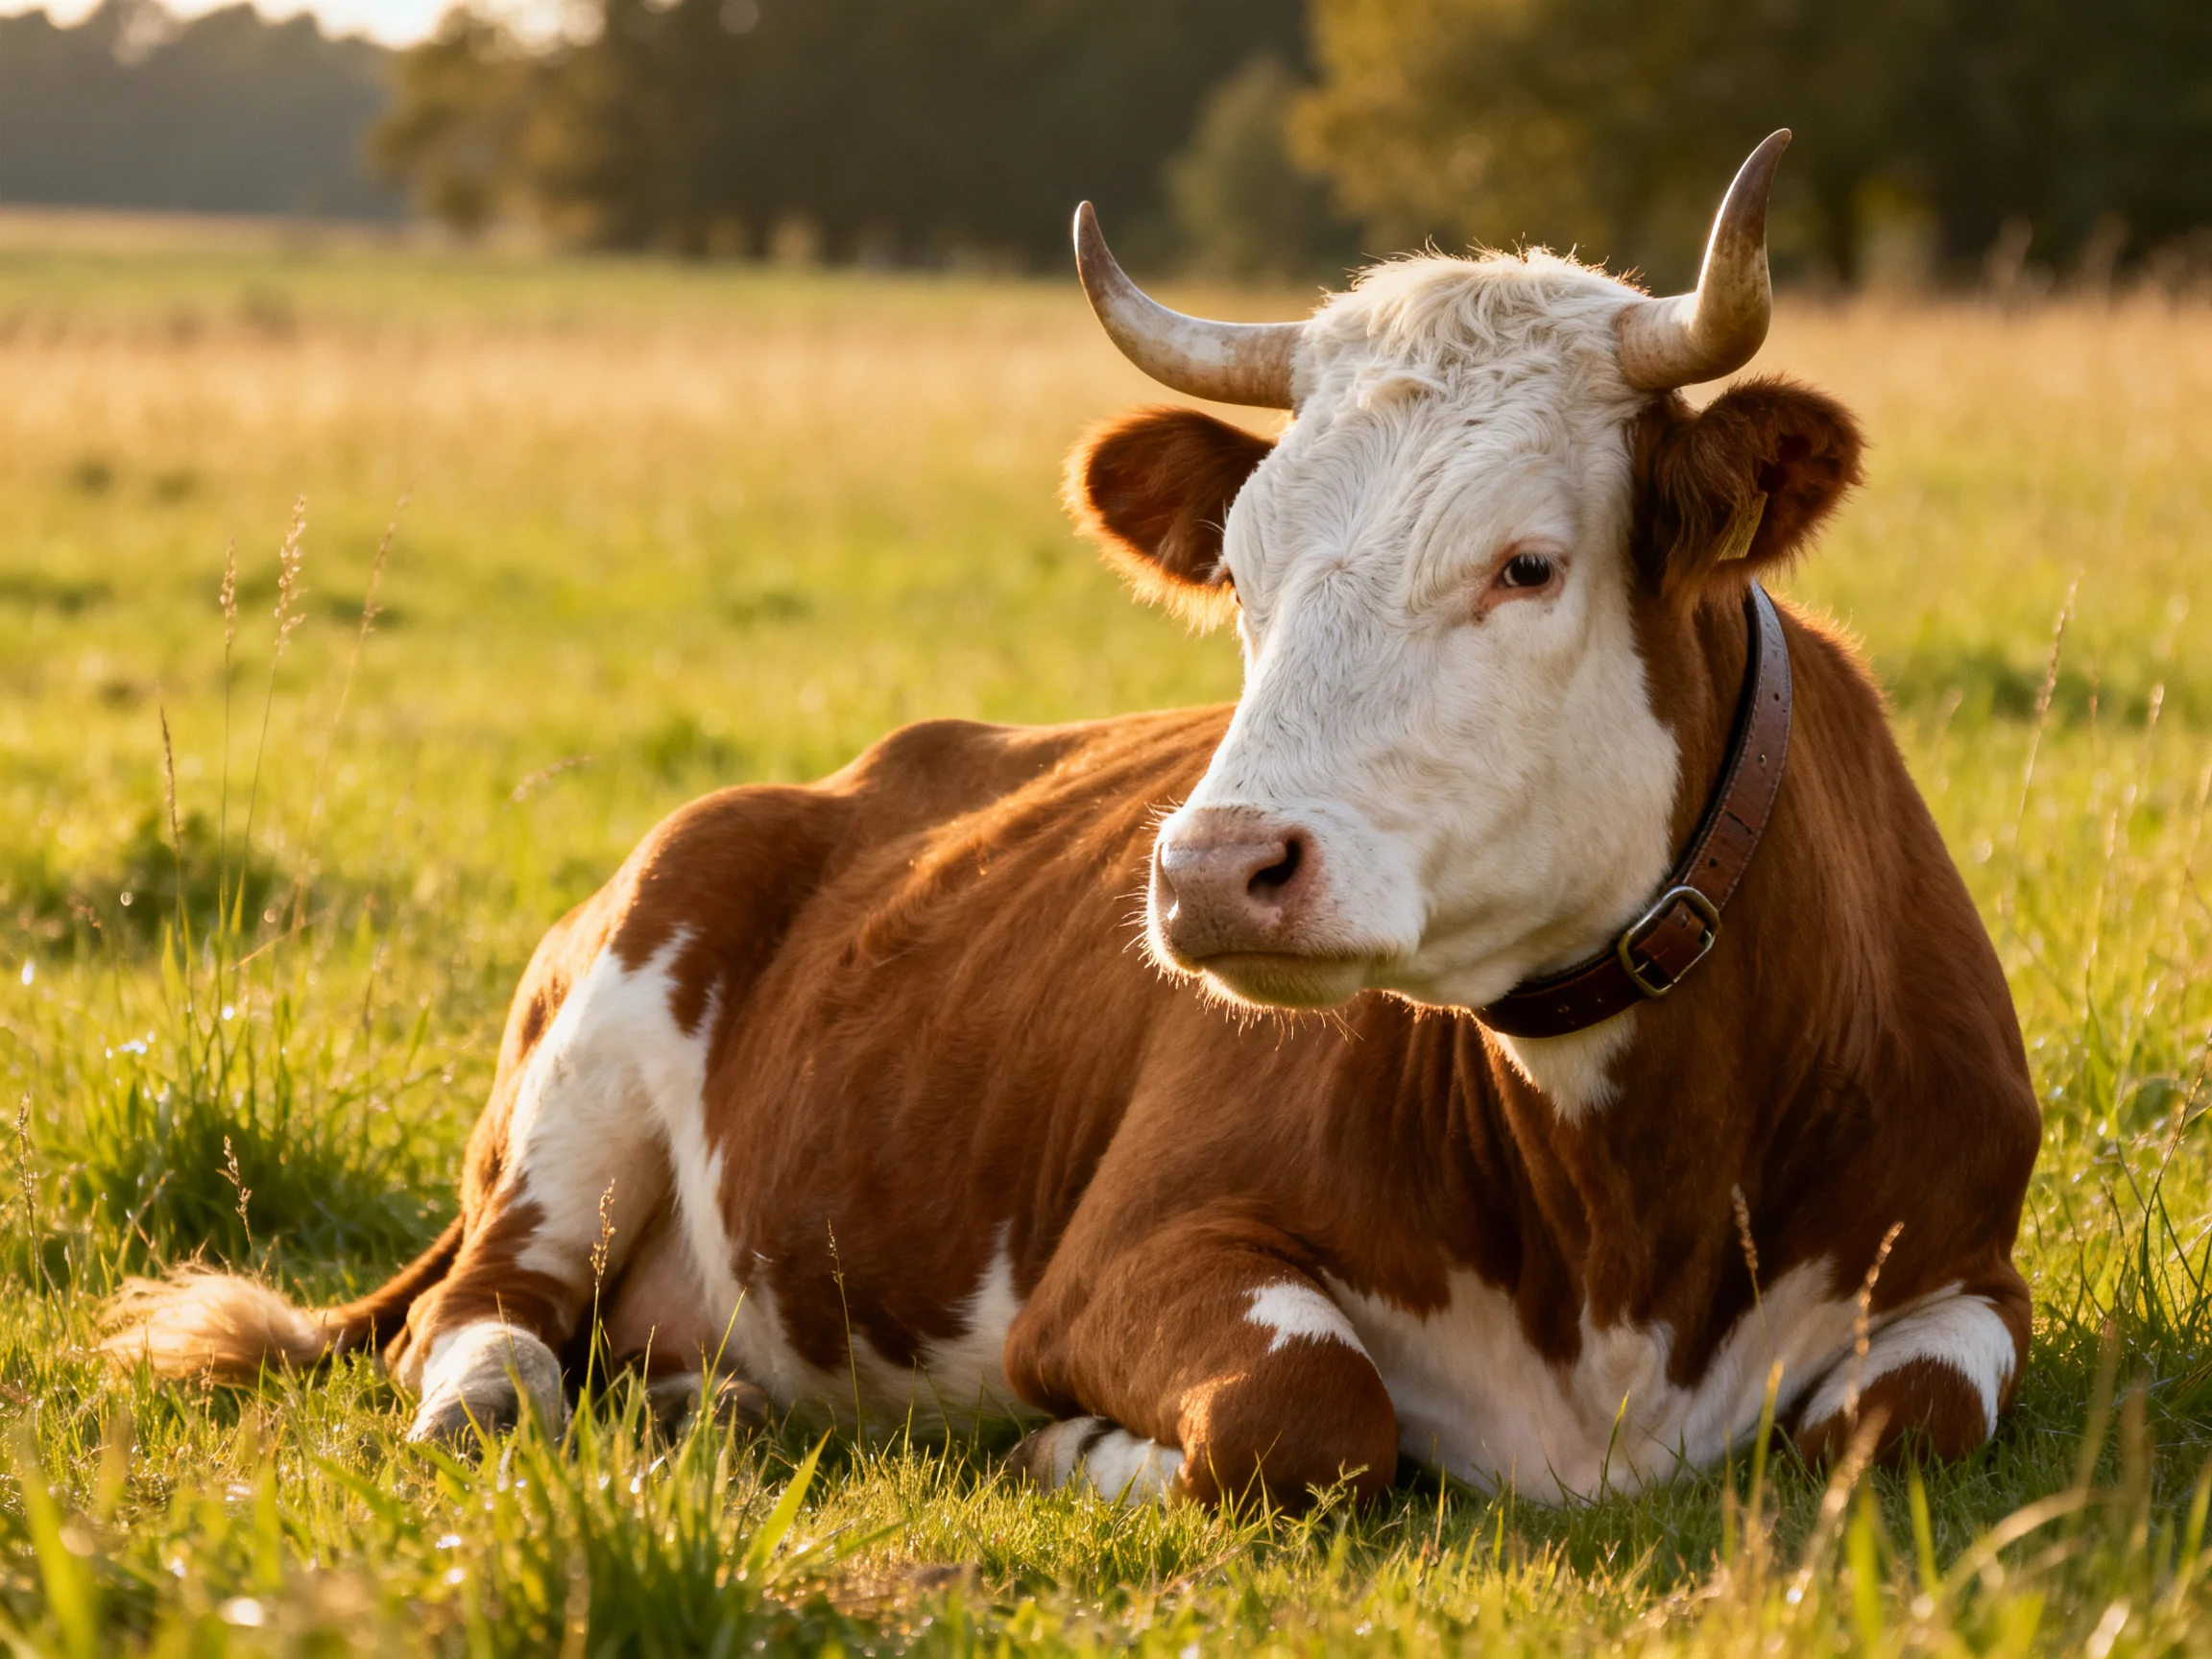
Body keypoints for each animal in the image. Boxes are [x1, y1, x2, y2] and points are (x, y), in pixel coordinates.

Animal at [107, 131, 2040, 1509]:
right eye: (1239, 572)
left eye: (1527, 564)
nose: (1213, 869)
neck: (1623, 1226)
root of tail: (822, 786)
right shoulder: (1124, 1257)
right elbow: (1306, 1406)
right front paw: (1071, 1448)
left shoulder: (1972, 1276)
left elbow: (1891, 1426)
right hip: (580, 1082)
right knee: (477, 1335)